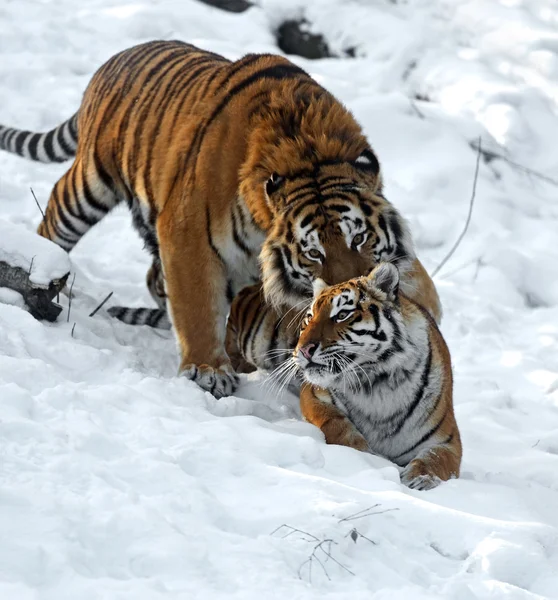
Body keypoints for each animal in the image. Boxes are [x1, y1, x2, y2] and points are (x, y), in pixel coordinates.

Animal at [1, 38, 446, 398]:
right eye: (313, 254)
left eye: (359, 239)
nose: (348, 297)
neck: (307, 155)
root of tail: (114, 59)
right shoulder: (187, 236)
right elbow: (197, 305)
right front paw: (207, 371)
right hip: (89, 184)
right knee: (54, 221)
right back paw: (42, 282)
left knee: (153, 277)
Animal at [225, 264, 462, 490]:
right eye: (309, 319)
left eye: (341, 315)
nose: (303, 350)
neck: (376, 383)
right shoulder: (314, 395)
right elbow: (337, 425)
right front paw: (368, 458)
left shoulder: (447, 440)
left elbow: (435, 458)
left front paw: (418, 479)